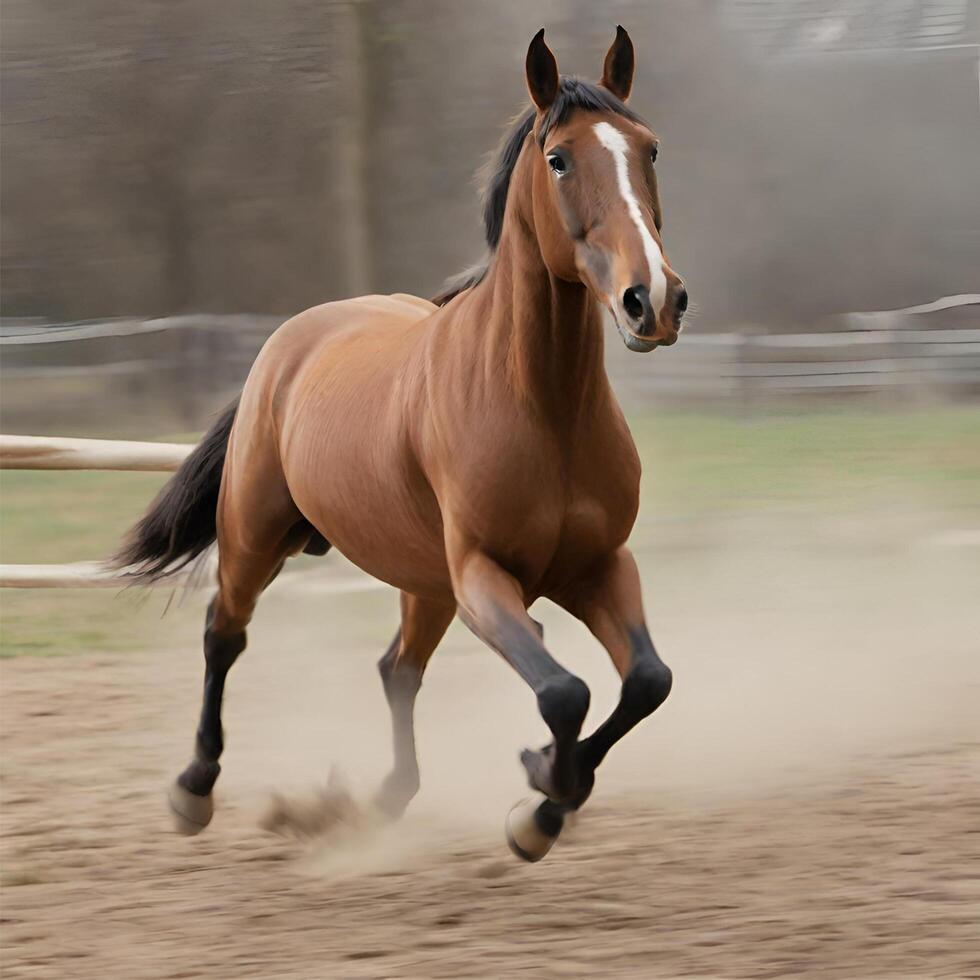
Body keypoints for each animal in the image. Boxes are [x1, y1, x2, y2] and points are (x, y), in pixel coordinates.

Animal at [117, 26, 688, 862]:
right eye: (558, 159)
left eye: (649, 150)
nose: (654, 300)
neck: (542, 409)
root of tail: (289, 342)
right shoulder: (483, 575)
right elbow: (564, 690)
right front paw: (539, 799)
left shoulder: (597, 566)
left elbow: (647, 681)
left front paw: (546, 787)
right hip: (256, 537)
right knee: (225, 633)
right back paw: (194, 788)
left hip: (423, 582)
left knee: (397, 670)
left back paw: (385, 798)